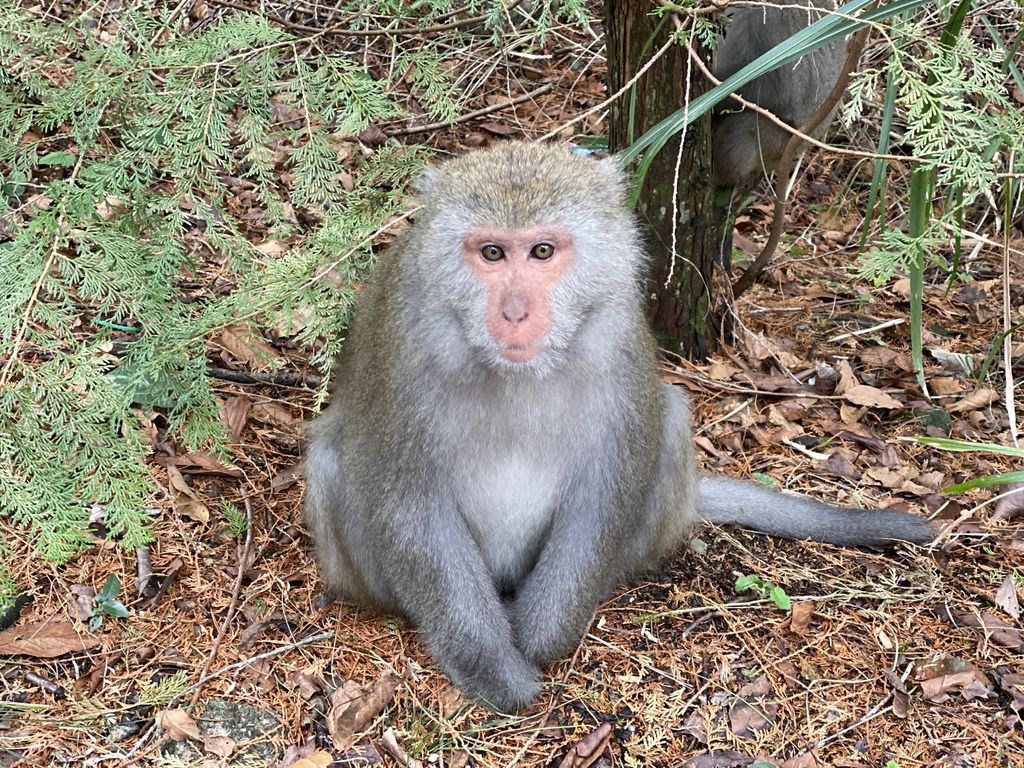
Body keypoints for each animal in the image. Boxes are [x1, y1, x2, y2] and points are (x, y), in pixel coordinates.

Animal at [301, 141, 929, 712]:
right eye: (492, 253)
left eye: (543, 251)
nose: (515, 312)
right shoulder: (406, 347)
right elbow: (410, 504)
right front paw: (496, 672)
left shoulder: (618, 335)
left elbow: (604, 494)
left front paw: (538, 638)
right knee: (332, 462)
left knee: (669, 425)